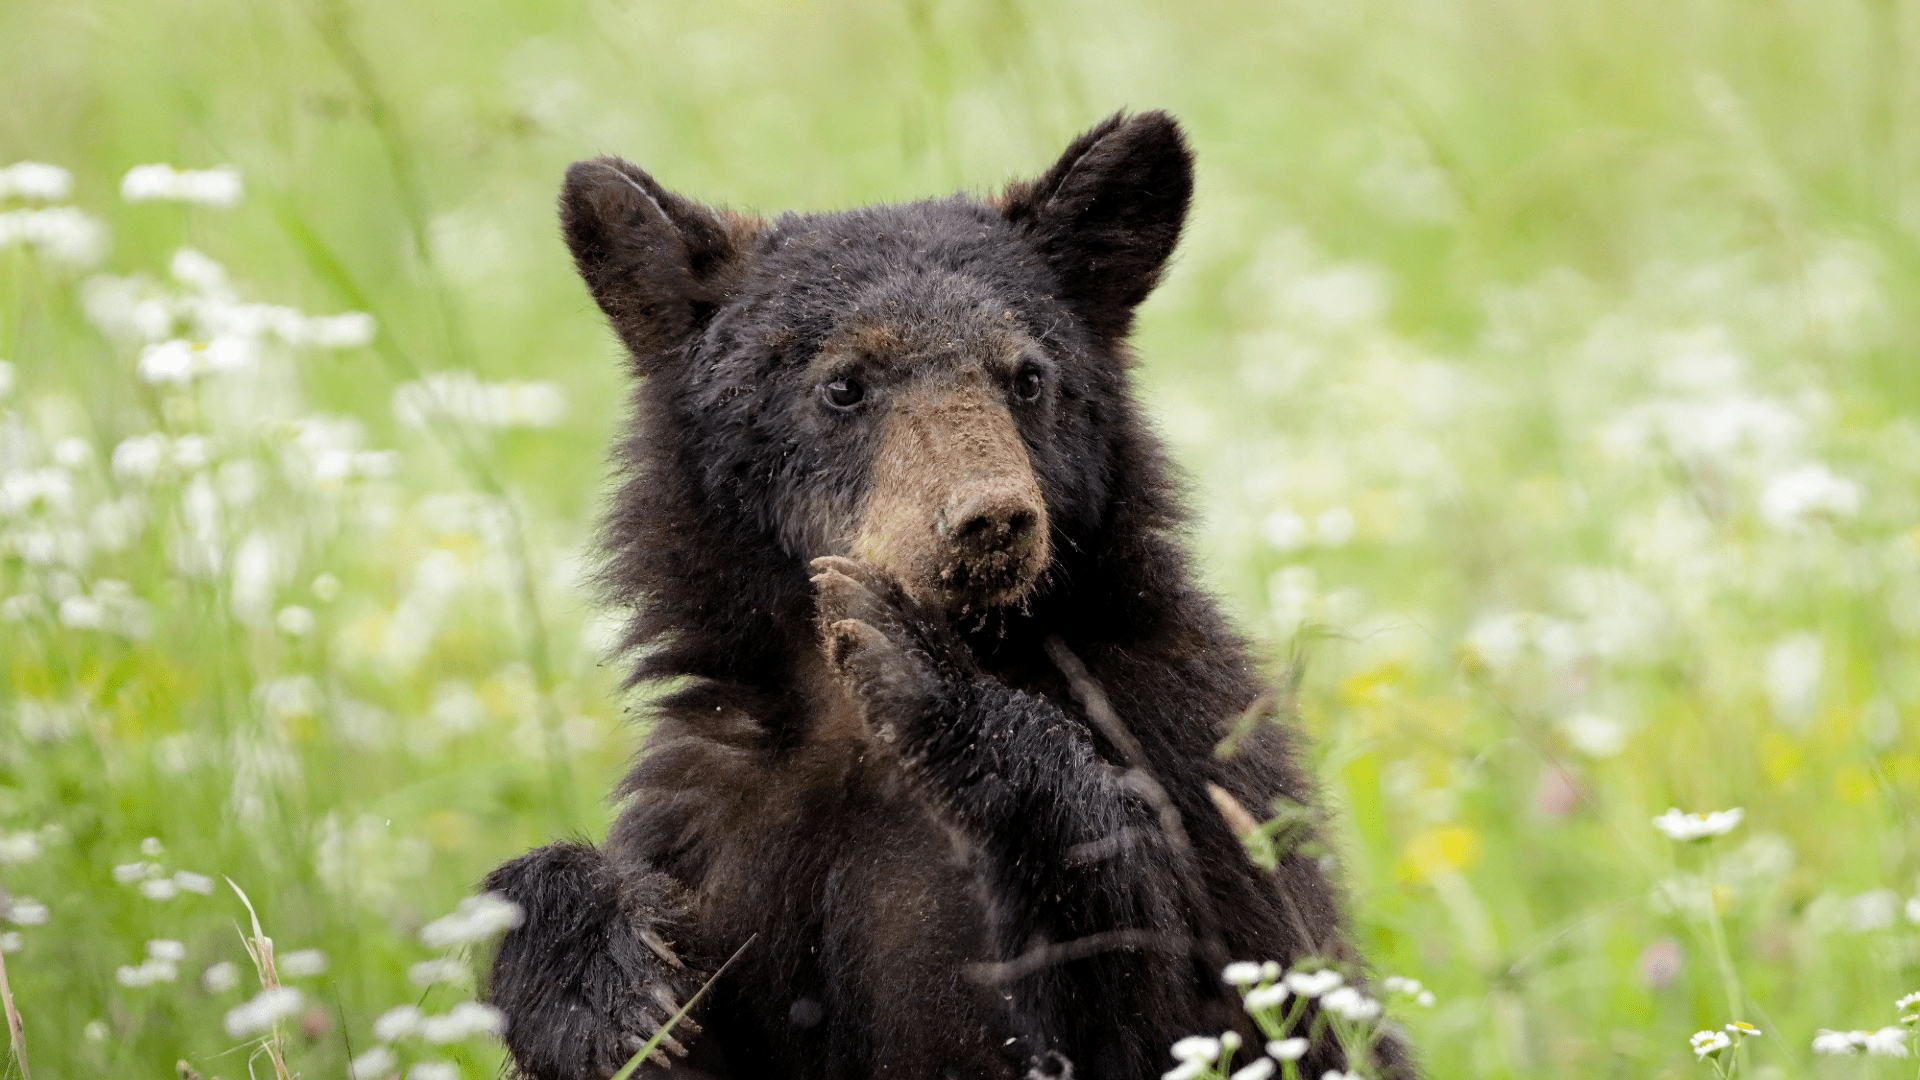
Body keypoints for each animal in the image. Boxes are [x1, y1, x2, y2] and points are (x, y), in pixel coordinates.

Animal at [482, 111, 1418, 1080]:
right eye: (844, 382)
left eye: (1028, 375)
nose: (989, 518)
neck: (852, 730)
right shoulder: (718, 818)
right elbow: (679, 1026)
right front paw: (596, 984)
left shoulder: (1191, 756)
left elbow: (1187, 1002)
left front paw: (923, 672)